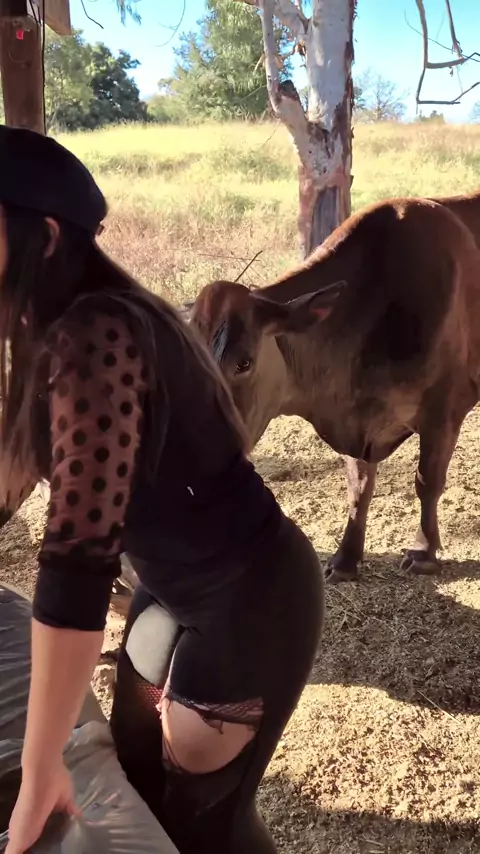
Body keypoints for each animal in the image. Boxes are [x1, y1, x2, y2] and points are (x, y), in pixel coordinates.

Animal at [189, 194, 480, 583]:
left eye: (244, 362)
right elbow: (359, 488)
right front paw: (345, 559)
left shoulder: (445, 409)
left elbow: (427, 482)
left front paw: (423, 553)